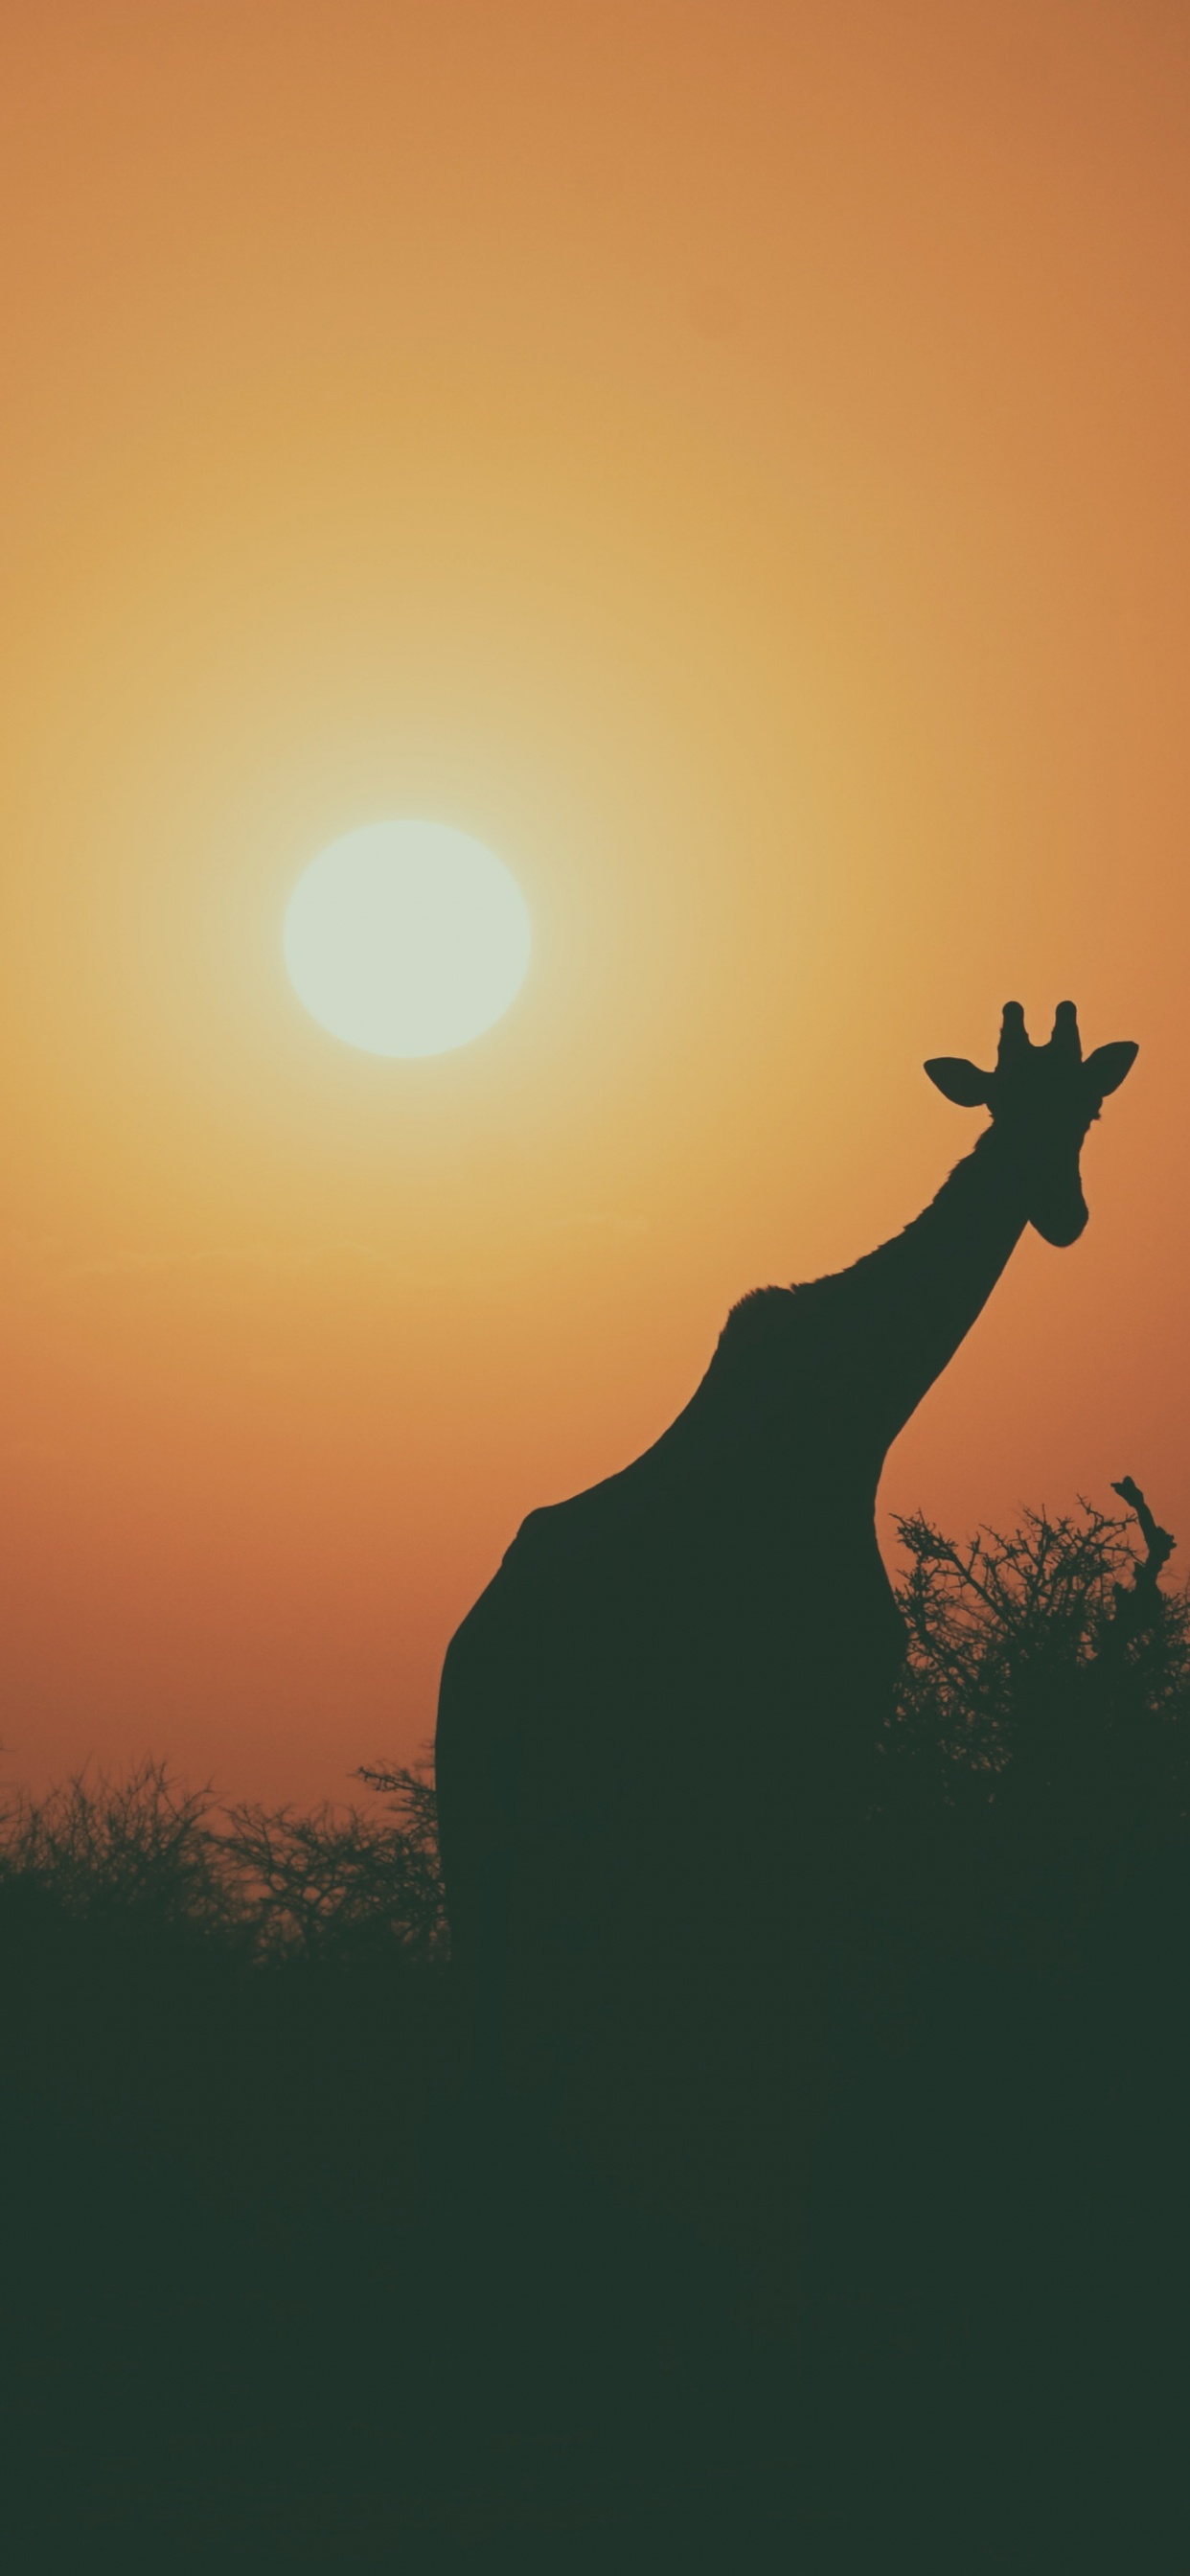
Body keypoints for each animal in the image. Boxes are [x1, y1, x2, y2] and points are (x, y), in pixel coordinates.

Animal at [433, 1001, 1137, 2306]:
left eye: (1091, 1107)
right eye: (1000, 1105)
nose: (1062, 1215)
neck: (859, 1413)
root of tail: (469, 1665)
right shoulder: (825, 1718)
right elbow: (805, 2007)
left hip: (526, 1818)